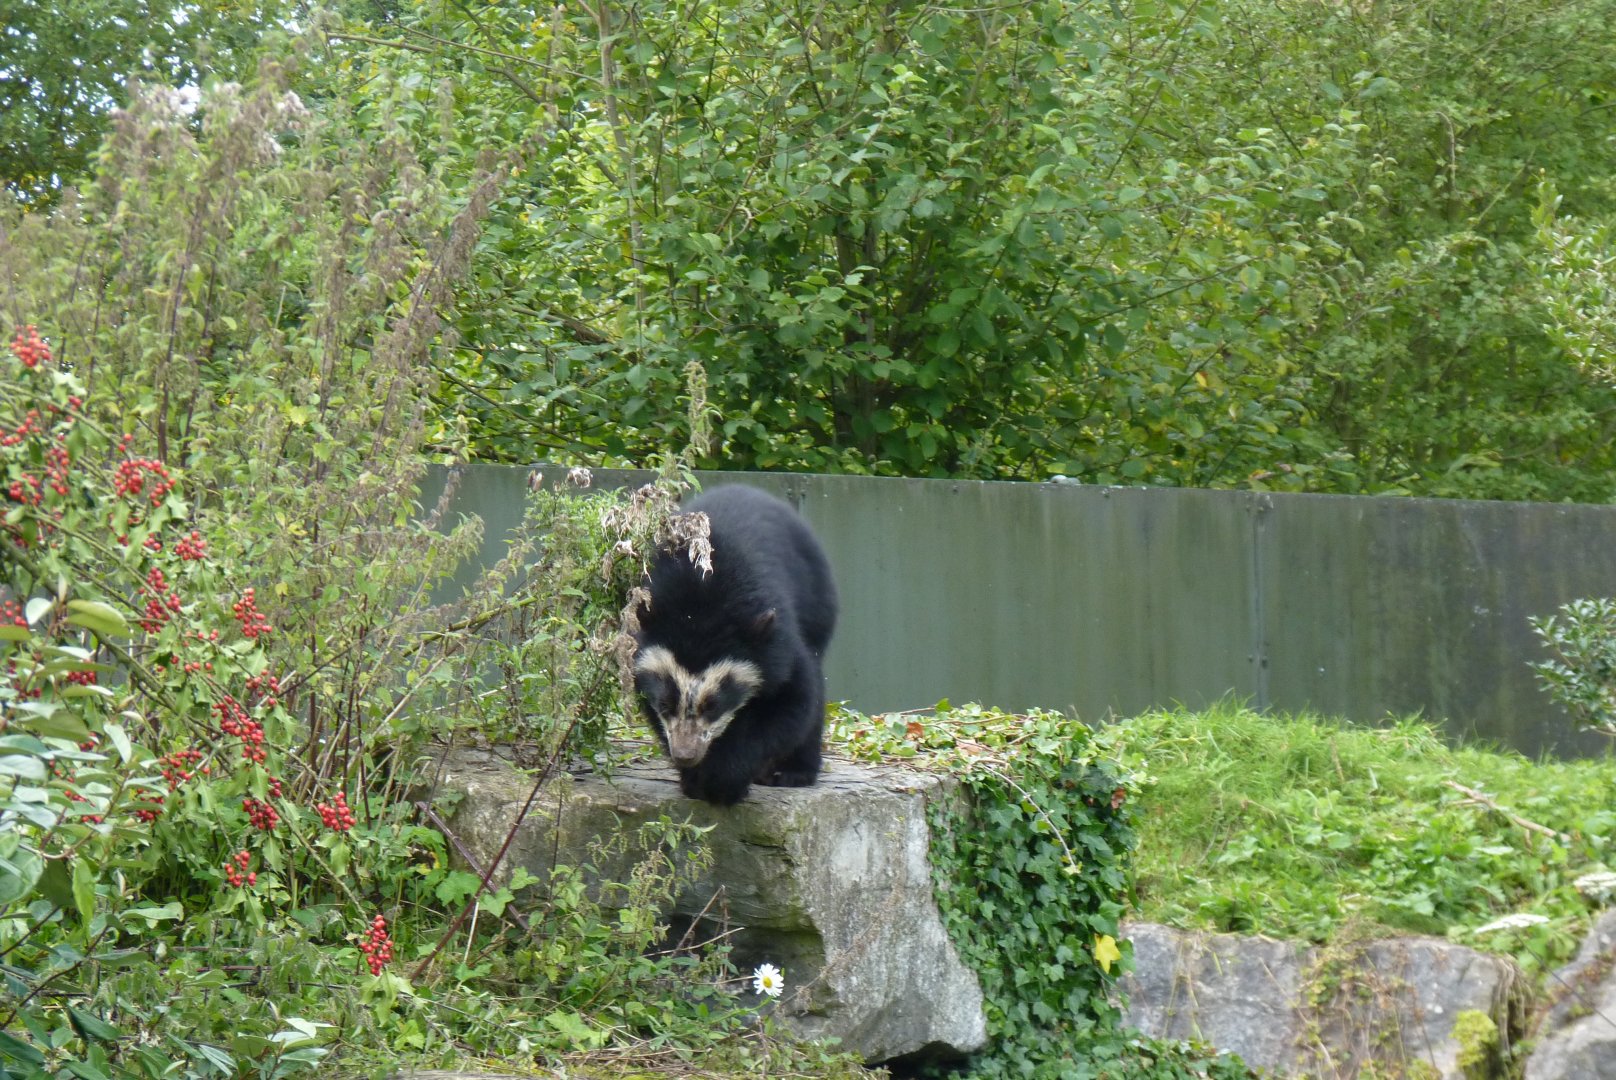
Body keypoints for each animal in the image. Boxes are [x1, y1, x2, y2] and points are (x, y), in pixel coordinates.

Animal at [632, 484, 838, 806]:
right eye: (665, 703)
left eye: (713, 705)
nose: (685, 755)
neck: (699, 605)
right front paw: (694, 781)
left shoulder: (777, 641)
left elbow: (794, 700)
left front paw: (723, 781)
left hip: (818, 603)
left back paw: (793, 773)